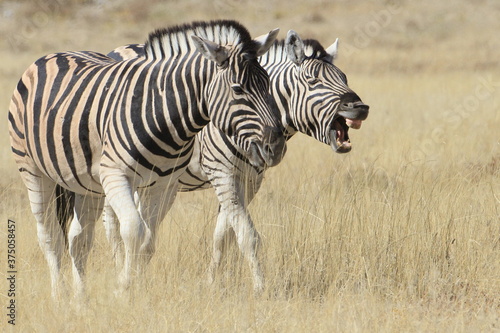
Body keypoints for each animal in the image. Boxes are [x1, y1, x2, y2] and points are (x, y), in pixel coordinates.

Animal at [8, 19, 286, 296]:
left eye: (268, 83)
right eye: (238, 89)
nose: (276, 147)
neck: (162, 113)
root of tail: (53, 55)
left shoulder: (163, 185)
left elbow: (149, 242)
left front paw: (136, 287)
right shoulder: (116, 176)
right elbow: (134, 231)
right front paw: (123, 287)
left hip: (87, 184)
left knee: (79, 239)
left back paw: (80, 297)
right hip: (33, 171)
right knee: (50, 236)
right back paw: (60, 294)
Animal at [103, 29, 370, 292]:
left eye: (344, 78)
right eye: (313, 81)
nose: (361, 107)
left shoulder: (250, 179)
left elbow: (224, 235)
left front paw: (211, 281)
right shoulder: (222, 173)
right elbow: (248, 236)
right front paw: (260, 287)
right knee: (111, 221)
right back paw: (118, 267)